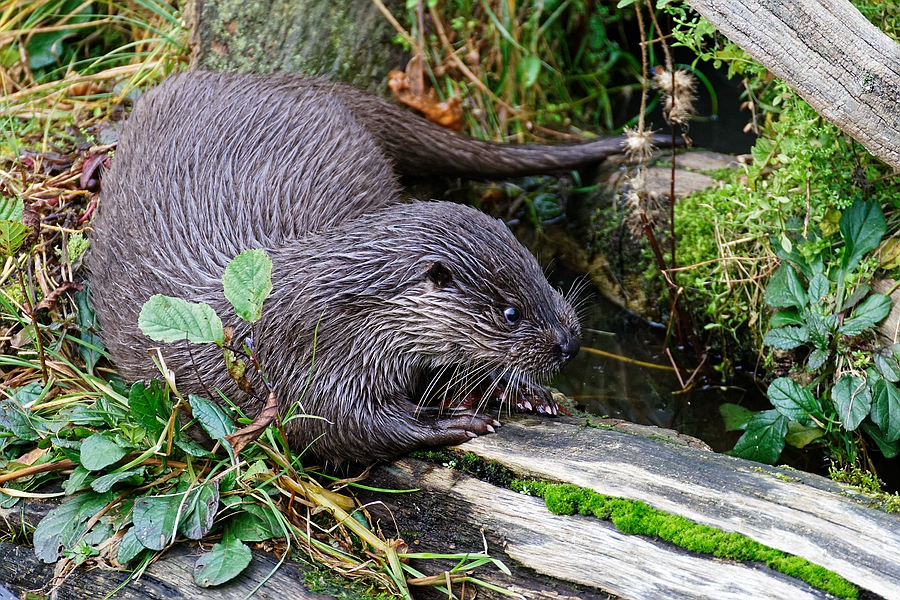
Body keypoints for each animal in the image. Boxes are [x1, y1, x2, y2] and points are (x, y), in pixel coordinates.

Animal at [87, 70, 648, 463]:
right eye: (511, 313)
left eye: (542, 276)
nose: (570, 343)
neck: (346, 311)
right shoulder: (304, 365)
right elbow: (336, 429)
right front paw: (446, 422)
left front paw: (530, 393)